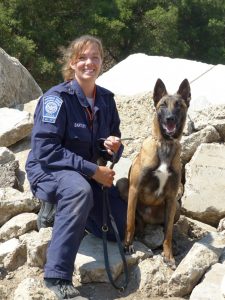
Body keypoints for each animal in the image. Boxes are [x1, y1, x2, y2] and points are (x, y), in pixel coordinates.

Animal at [124, 78, 191, 268]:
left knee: (166, 227)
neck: (165, 145)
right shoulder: (134, 189)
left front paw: (168, 255)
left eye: (179, 106)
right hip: (124, 186)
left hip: (176, 207)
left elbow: (168, 232)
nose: (170, 118)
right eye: (163, 105)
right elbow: (129, 222)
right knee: (137, 222)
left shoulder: (172, 196)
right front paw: (128, 245)